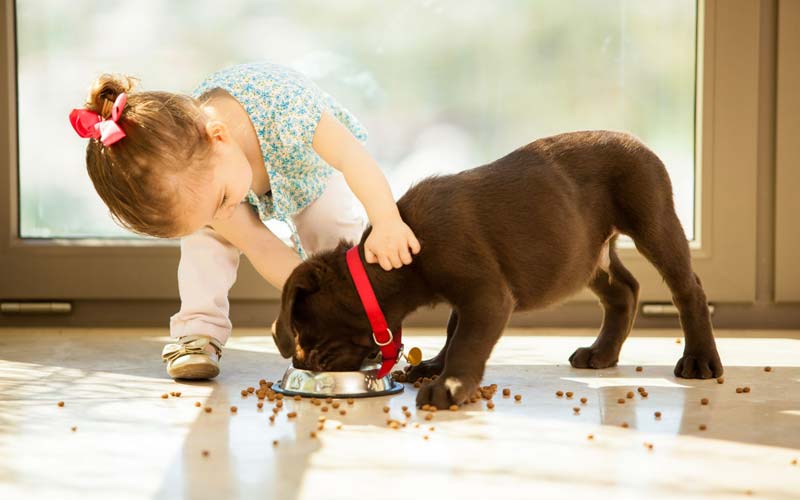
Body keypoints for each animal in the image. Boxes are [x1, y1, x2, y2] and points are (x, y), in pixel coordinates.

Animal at [272, 131, 720, 408]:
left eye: (303, 329)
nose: (303, 363)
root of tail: (637, 141)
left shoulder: (485, 294)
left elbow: (467, 341)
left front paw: (449, 385)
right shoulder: (469, 296)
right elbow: (453, 330)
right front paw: (435, 366)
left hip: (653, 221)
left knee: (688, 288)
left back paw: (700, 360)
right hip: (585, 254)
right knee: (623, 290)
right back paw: (602, 353)